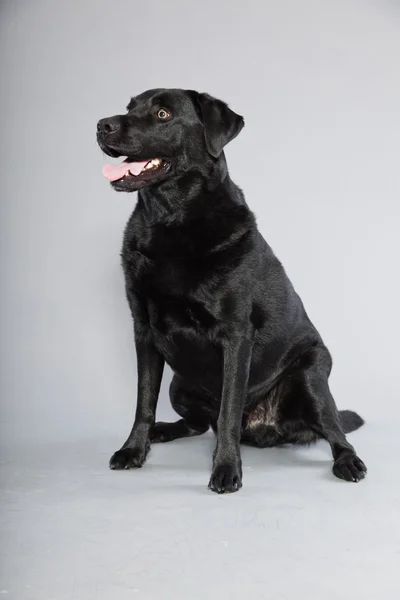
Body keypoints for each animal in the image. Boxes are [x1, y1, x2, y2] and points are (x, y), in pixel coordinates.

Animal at [97, 89, 366, 492]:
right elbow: (143, 401)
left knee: (335, 429)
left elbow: (228, 412)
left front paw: (225, 469)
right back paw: (163, 430)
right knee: (196, 423)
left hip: (312, 375)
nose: (102, 125)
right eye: (129, 107)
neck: (170, 219)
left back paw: (348, 461)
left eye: (163, 114)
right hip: (180, 384)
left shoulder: (236, 335)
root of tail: (266, 430)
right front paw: (133, 450)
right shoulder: (143, 331)